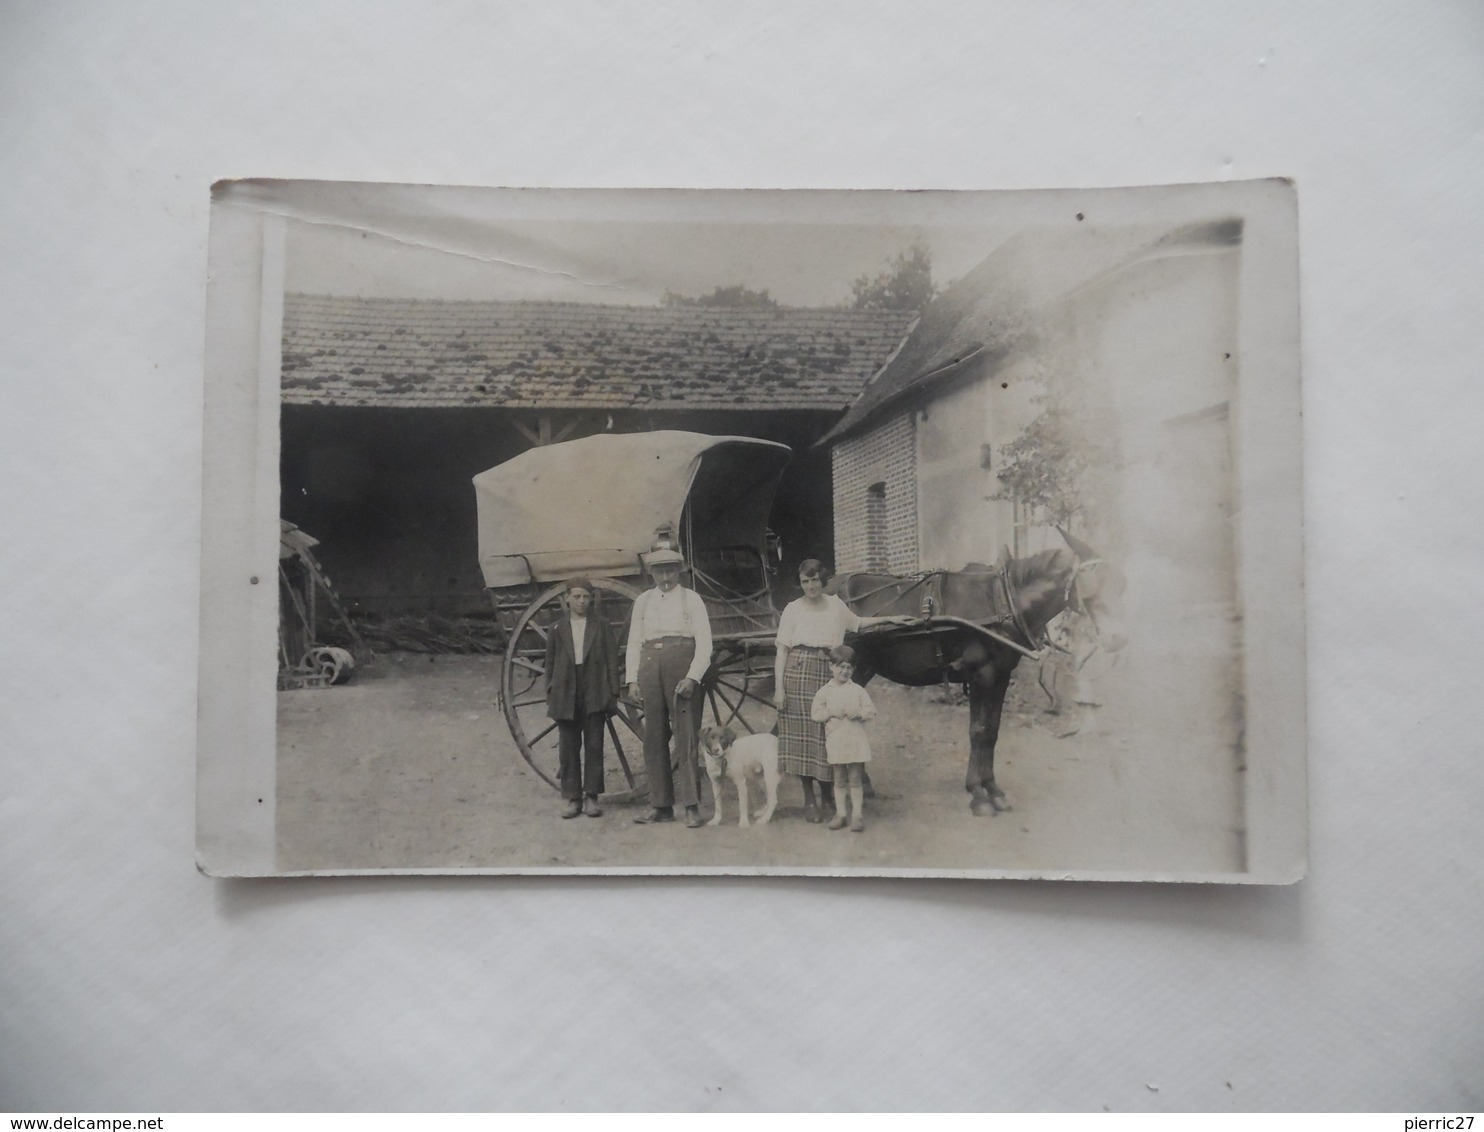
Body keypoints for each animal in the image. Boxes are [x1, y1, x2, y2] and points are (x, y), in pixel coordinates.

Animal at [836, 537, 1121, 818]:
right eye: (1093, 585)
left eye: (1121, 583)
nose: (1119, 639)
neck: (1002, 600)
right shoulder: (980, 674)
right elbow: (978, 731)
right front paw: (978, 794)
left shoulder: (1001, 676)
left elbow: (992, 731)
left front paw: (993, 790)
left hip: (863, 670)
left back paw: (862, 784)